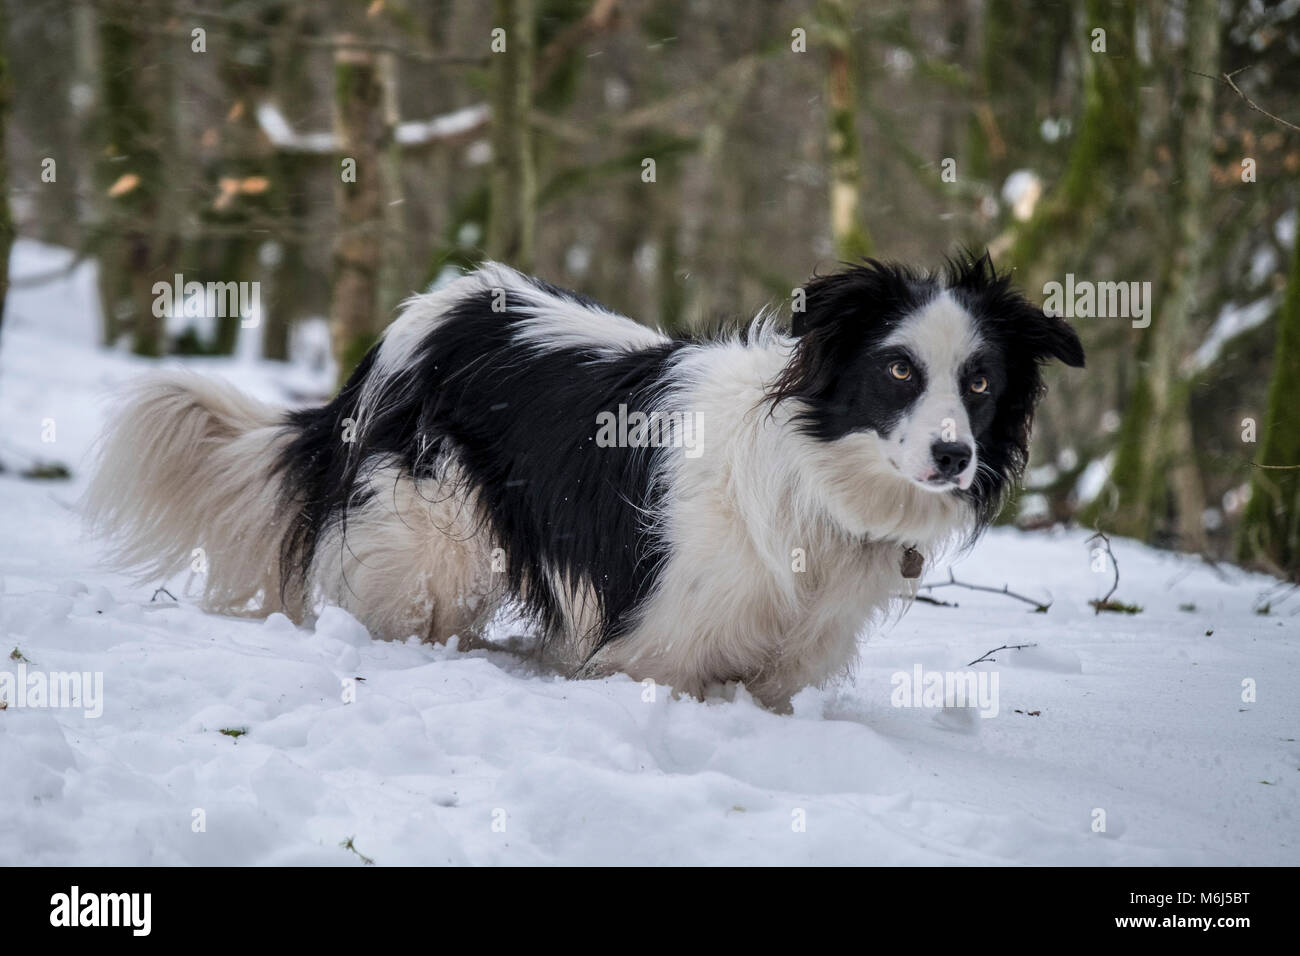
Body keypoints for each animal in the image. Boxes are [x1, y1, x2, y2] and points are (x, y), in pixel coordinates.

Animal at [86, 254, 1086, 712]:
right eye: (899, 371)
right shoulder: (660, 645)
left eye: (981, 383)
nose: (954, 458)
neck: (815, 477)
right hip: (434, 534)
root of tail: (417, 319)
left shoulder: (787, 660)